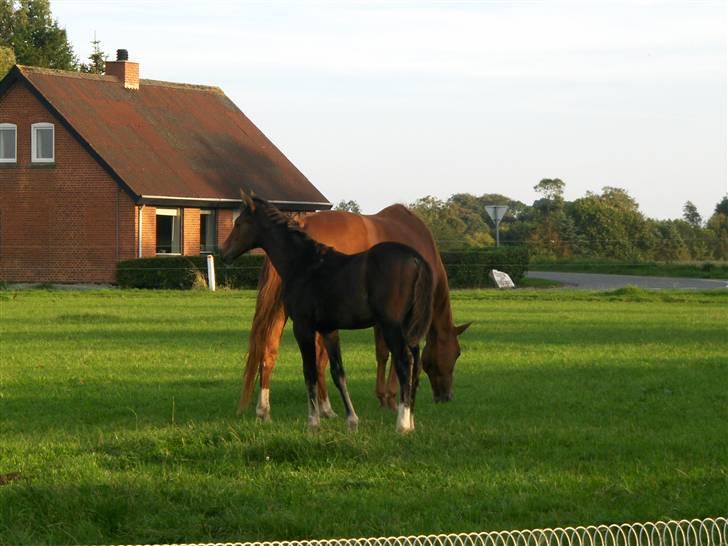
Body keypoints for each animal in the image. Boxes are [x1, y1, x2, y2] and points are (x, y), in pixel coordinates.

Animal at [236, 202, 470, 418]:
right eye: (457, 353)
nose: (446, 397)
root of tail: (302, 221)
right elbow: (394, 355)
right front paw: (391, 398)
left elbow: (383, 354)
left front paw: (384, 397)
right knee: (318, 359)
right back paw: (325, 408)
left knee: (270, 349)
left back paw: (266, 409)